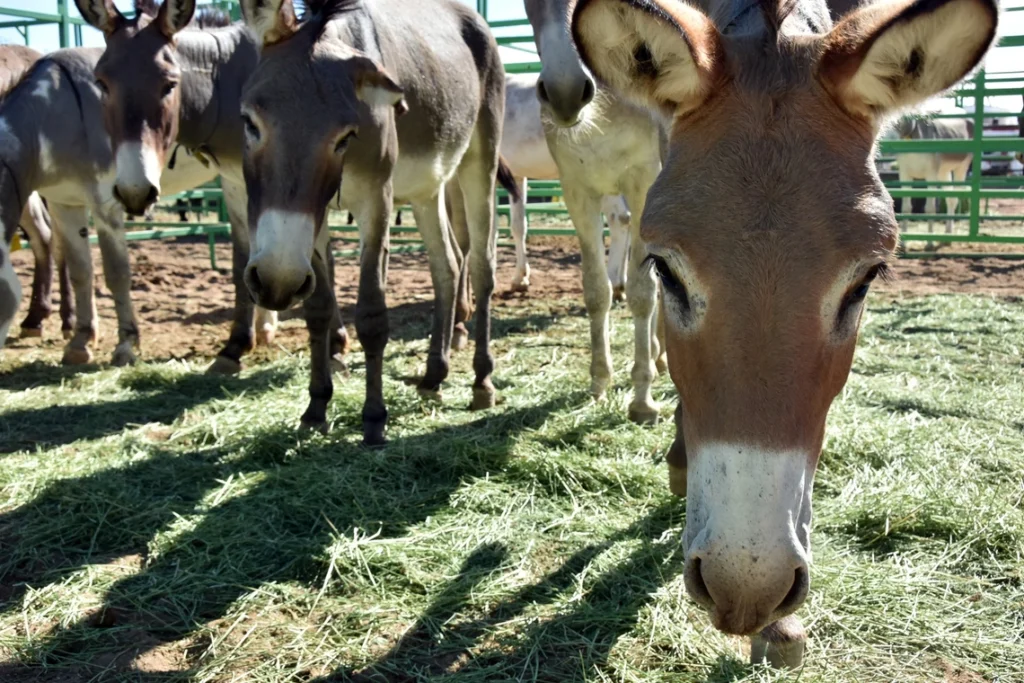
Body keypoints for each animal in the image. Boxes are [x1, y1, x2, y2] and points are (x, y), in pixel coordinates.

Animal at [0, 45, 216, 364]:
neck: (56, 111)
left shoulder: (108, 204)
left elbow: (117, 273)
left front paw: (126, 344)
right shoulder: (65, 203)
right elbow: (80, 271)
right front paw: (80, 342)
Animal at [524, 0, 666, 424]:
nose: (566, 92)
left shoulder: (642, 184)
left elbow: (641, 292)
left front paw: (642, 400)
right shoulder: (577, 191)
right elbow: (596, 290)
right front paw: (600, 381)